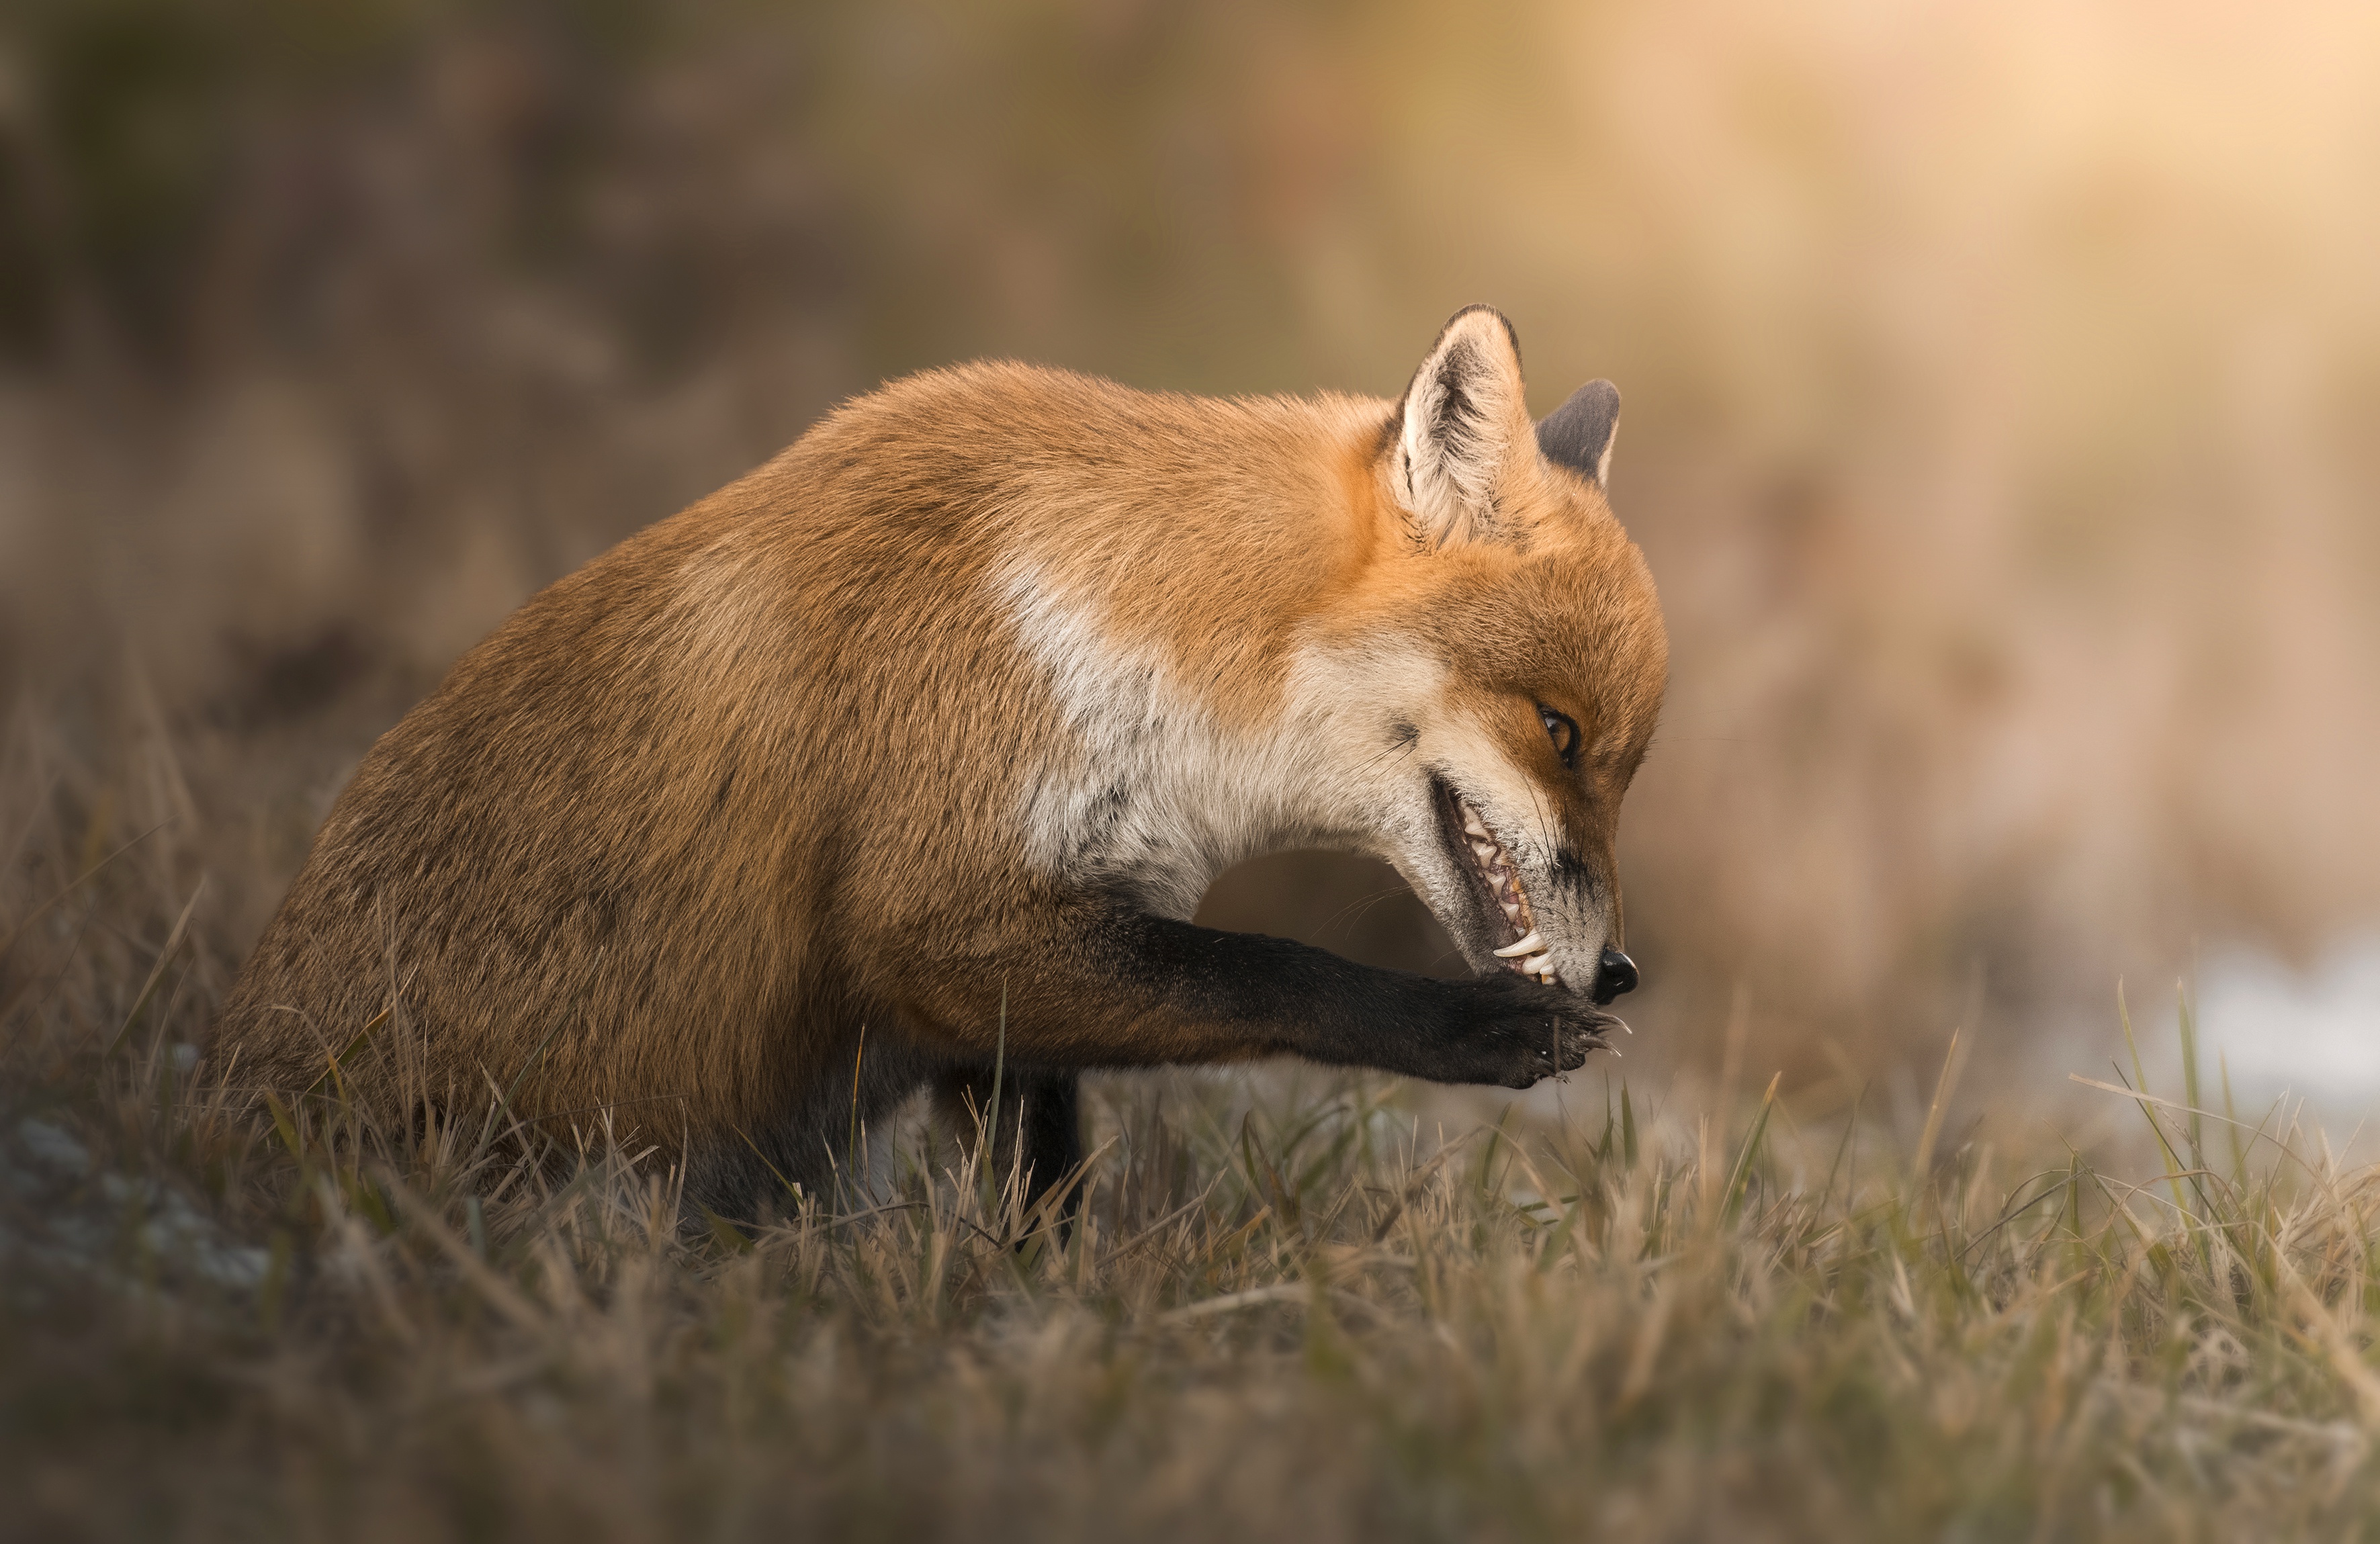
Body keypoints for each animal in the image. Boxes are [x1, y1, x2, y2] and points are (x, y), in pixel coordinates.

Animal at [214, 304, 1666, 1218]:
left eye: (1623, 763)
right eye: (1560, 734)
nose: (1617, 972)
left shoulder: (1032, 973)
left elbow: (1039, 1201)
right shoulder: (938, 926)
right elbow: (1276, 971)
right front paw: (1482, 1031)